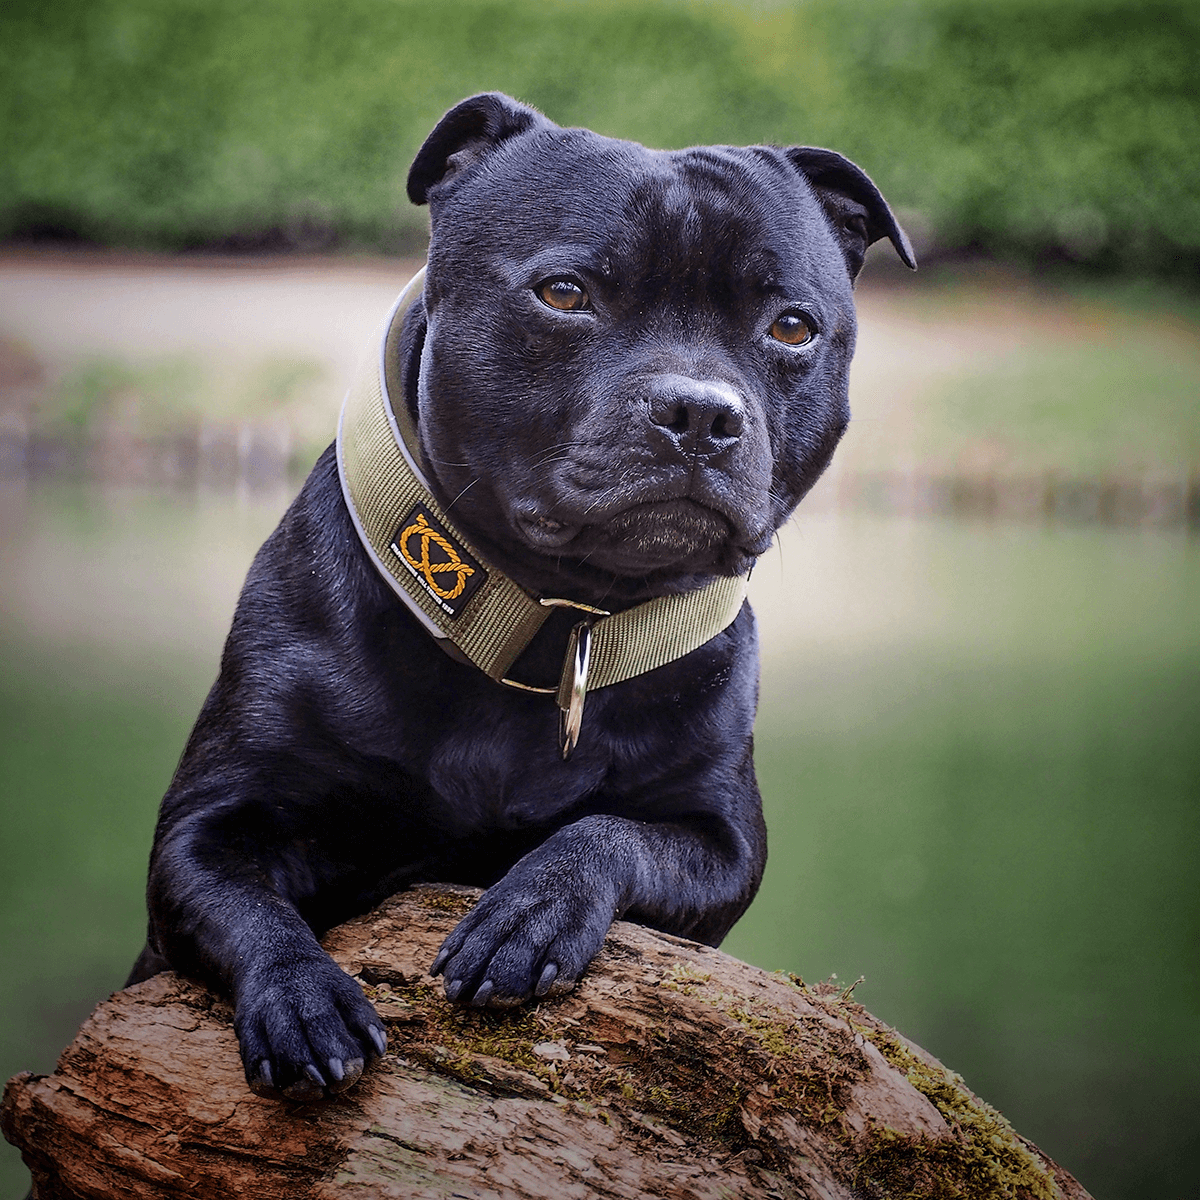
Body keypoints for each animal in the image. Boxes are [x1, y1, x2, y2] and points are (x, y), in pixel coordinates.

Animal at [129, 93, 907, 1099]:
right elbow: (242, 901)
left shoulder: (723, 839)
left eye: (793, 328)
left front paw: (531, 908)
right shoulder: (210, 825)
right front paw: (302, 999)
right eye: (565, 293)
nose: (700, 412)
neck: (552, 624)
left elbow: (612, 833)